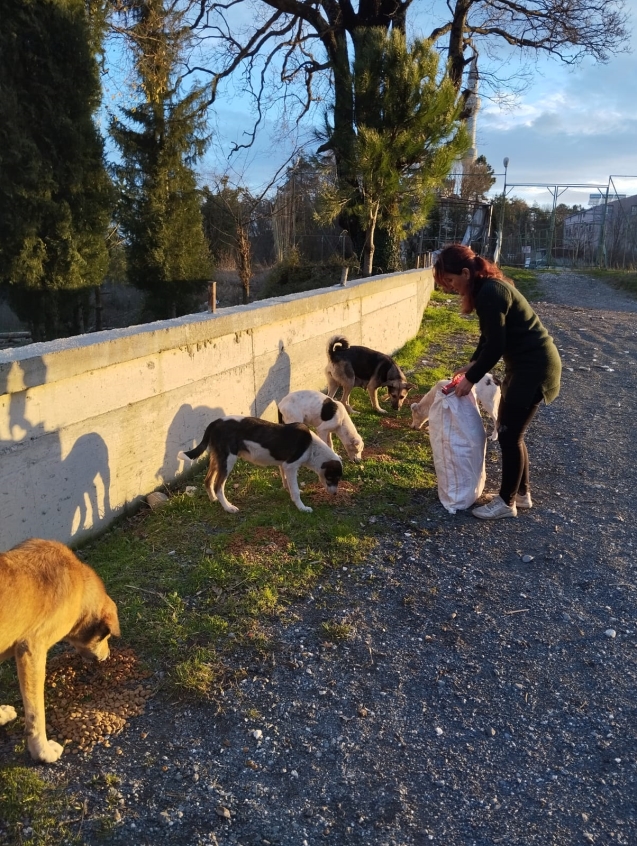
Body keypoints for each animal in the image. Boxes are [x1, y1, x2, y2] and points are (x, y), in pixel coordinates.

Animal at [176, 416, 340, 512]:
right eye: (333, 478)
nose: (335, 494)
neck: (312, 447)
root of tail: (216, 422)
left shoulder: (283, 465)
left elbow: (287, 482)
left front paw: (288, 490)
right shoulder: (291, 466)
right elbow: (295, 491)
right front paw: (302, 507)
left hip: (217, 459)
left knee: (208, 480)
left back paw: (214, 500)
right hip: (228, 460)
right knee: (218, 486)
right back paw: (228, 508)